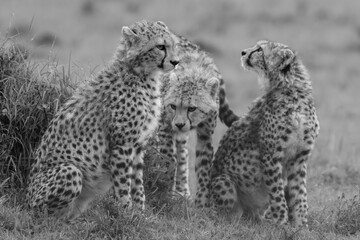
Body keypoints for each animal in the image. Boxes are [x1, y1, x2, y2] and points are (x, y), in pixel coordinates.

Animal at [24, 20, 179, 219]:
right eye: (160, 47)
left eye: (173, 45)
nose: (176, 62)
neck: (139, 73)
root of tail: (26, 198)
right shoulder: (123, 145)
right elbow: (123, 184)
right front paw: (125, 213)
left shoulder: (137, 146)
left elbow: (137, 184)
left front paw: (140, 214)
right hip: (70, 171)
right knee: (42, 214)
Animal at [210, 39, 320, 227]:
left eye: (259, 50)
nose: (243, 52)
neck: (291, 90)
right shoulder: (271, 155)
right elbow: (277, 193)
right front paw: (280, 222)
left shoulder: (299, 158)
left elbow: (300, 194)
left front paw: (301, 225)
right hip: (223, 182)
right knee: (221, 215)